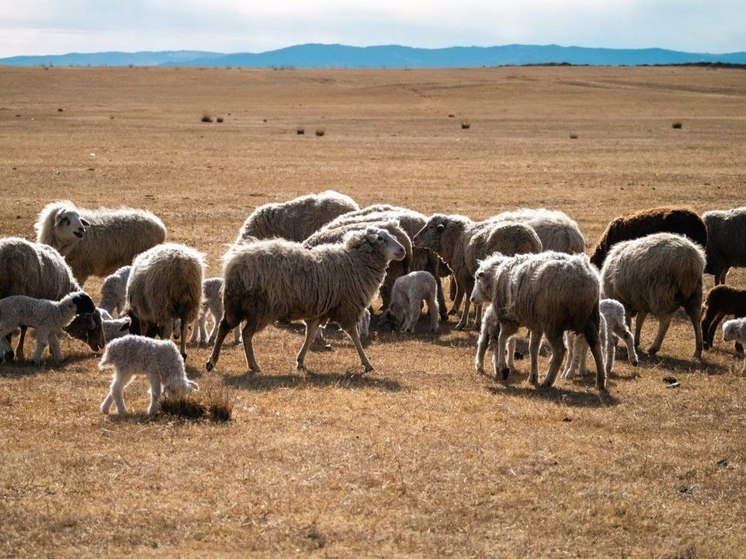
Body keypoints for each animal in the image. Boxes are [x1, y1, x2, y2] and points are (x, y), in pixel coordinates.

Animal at [205, 225, 406, 374]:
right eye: (380, 238)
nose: (402, 250)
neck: (353, 262)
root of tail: (233, 262)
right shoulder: (347, 307)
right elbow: (354, 335)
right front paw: (367, 363)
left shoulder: (320, 310)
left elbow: (310, 334)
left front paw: (300, 361)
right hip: (256, 306)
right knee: (239, 332)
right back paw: (235, 363)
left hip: (238, 304)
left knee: (227, 327)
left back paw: (225, 362)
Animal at [412, 213, 540, 328]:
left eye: (431, 227)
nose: (414, 239)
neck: (456, 238)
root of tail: (526, 239)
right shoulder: (475, 275)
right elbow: (476, 298)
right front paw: (477, 322)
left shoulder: (464, 274)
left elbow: (468, 297)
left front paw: (463, 323)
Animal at [470, 252, 604, 392]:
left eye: (477, 278)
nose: (472, 298)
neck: (496, 277)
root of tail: (584, 280)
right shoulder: (536, 324)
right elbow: (533, 348)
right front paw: (533, 377)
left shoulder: (509, 319)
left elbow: (502, 339)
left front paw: (503, 368)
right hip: (591, 318)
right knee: (596, 345)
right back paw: (600, 380)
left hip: (553, 322)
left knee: (560, 351)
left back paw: (548, 381)